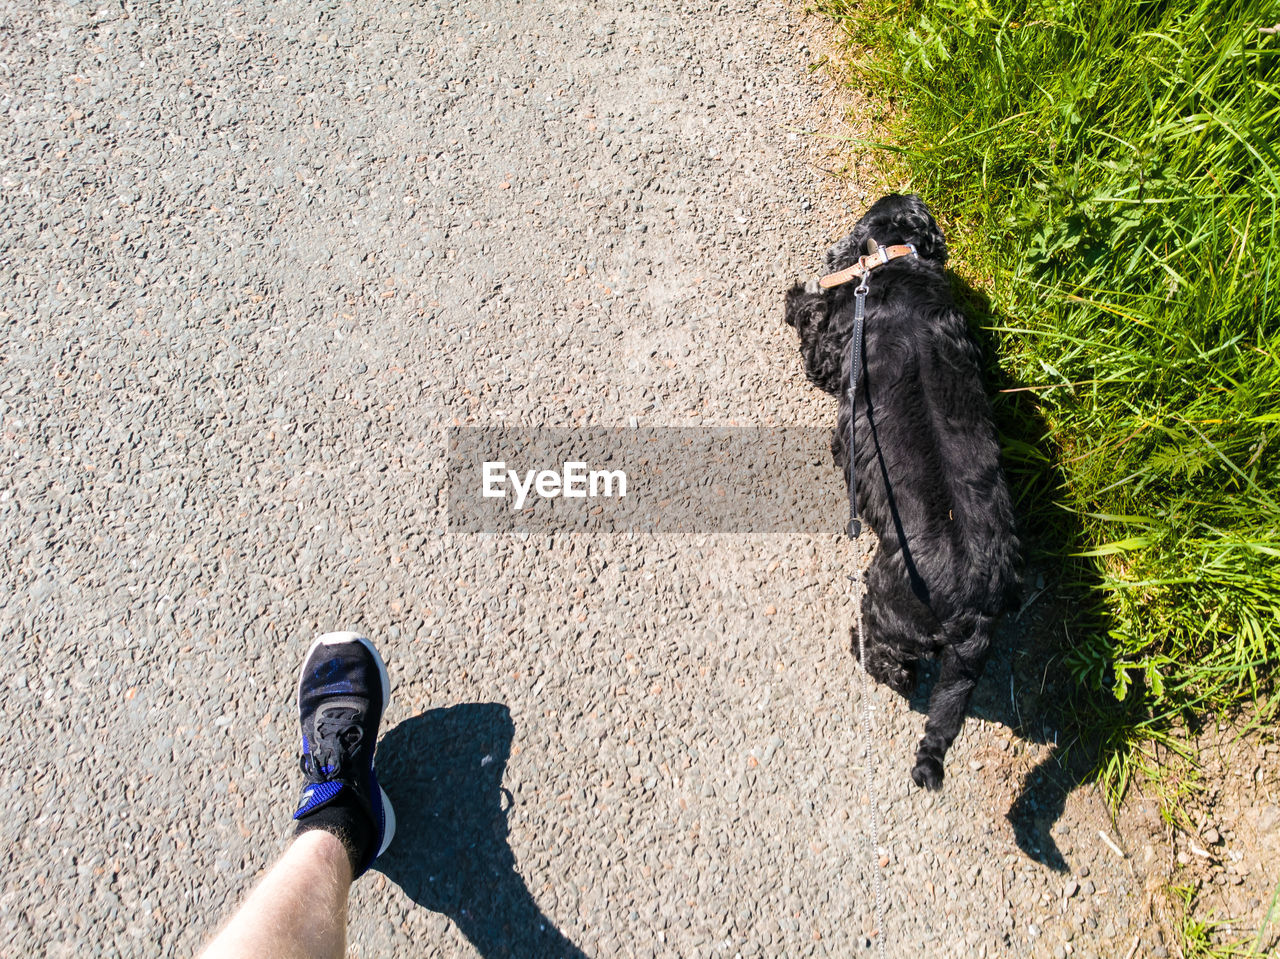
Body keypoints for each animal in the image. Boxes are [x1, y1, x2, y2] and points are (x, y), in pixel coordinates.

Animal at [778, 192, 1018, 783]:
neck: (897, 259)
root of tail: (979, 609)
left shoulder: (830, 345)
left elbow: (809, 323)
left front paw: (795, 295)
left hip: (886, 601)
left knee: (890, 660)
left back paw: (861, 648)